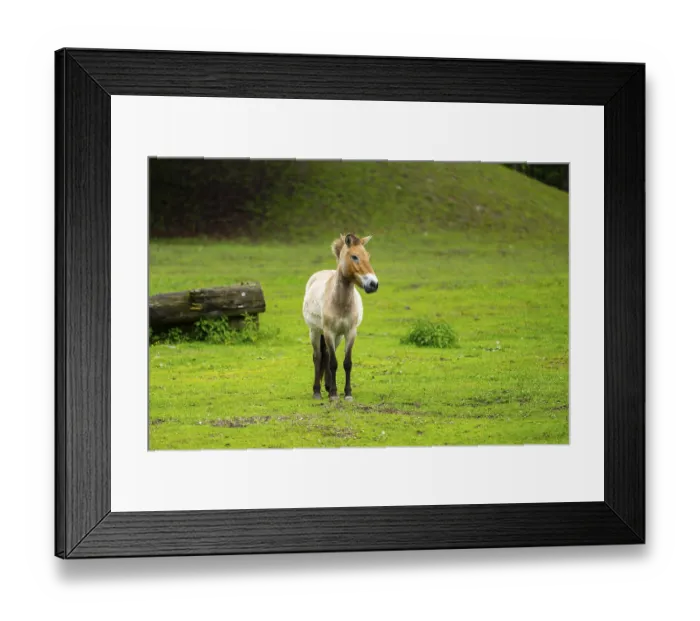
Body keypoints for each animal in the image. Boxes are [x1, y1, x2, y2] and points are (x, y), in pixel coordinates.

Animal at [302, 233, 379, 401]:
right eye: (354, 256)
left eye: (368, 256)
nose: (373, 284)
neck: (340, 302)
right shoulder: (329, 332)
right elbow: (333, 363)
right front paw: (334, 394)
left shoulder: (350, 333)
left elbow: (346, 363)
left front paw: (347, 393)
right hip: (315, 331)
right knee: (318, 357)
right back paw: (317, 391)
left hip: (338, 336)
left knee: (326, 355)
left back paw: (327, 386)